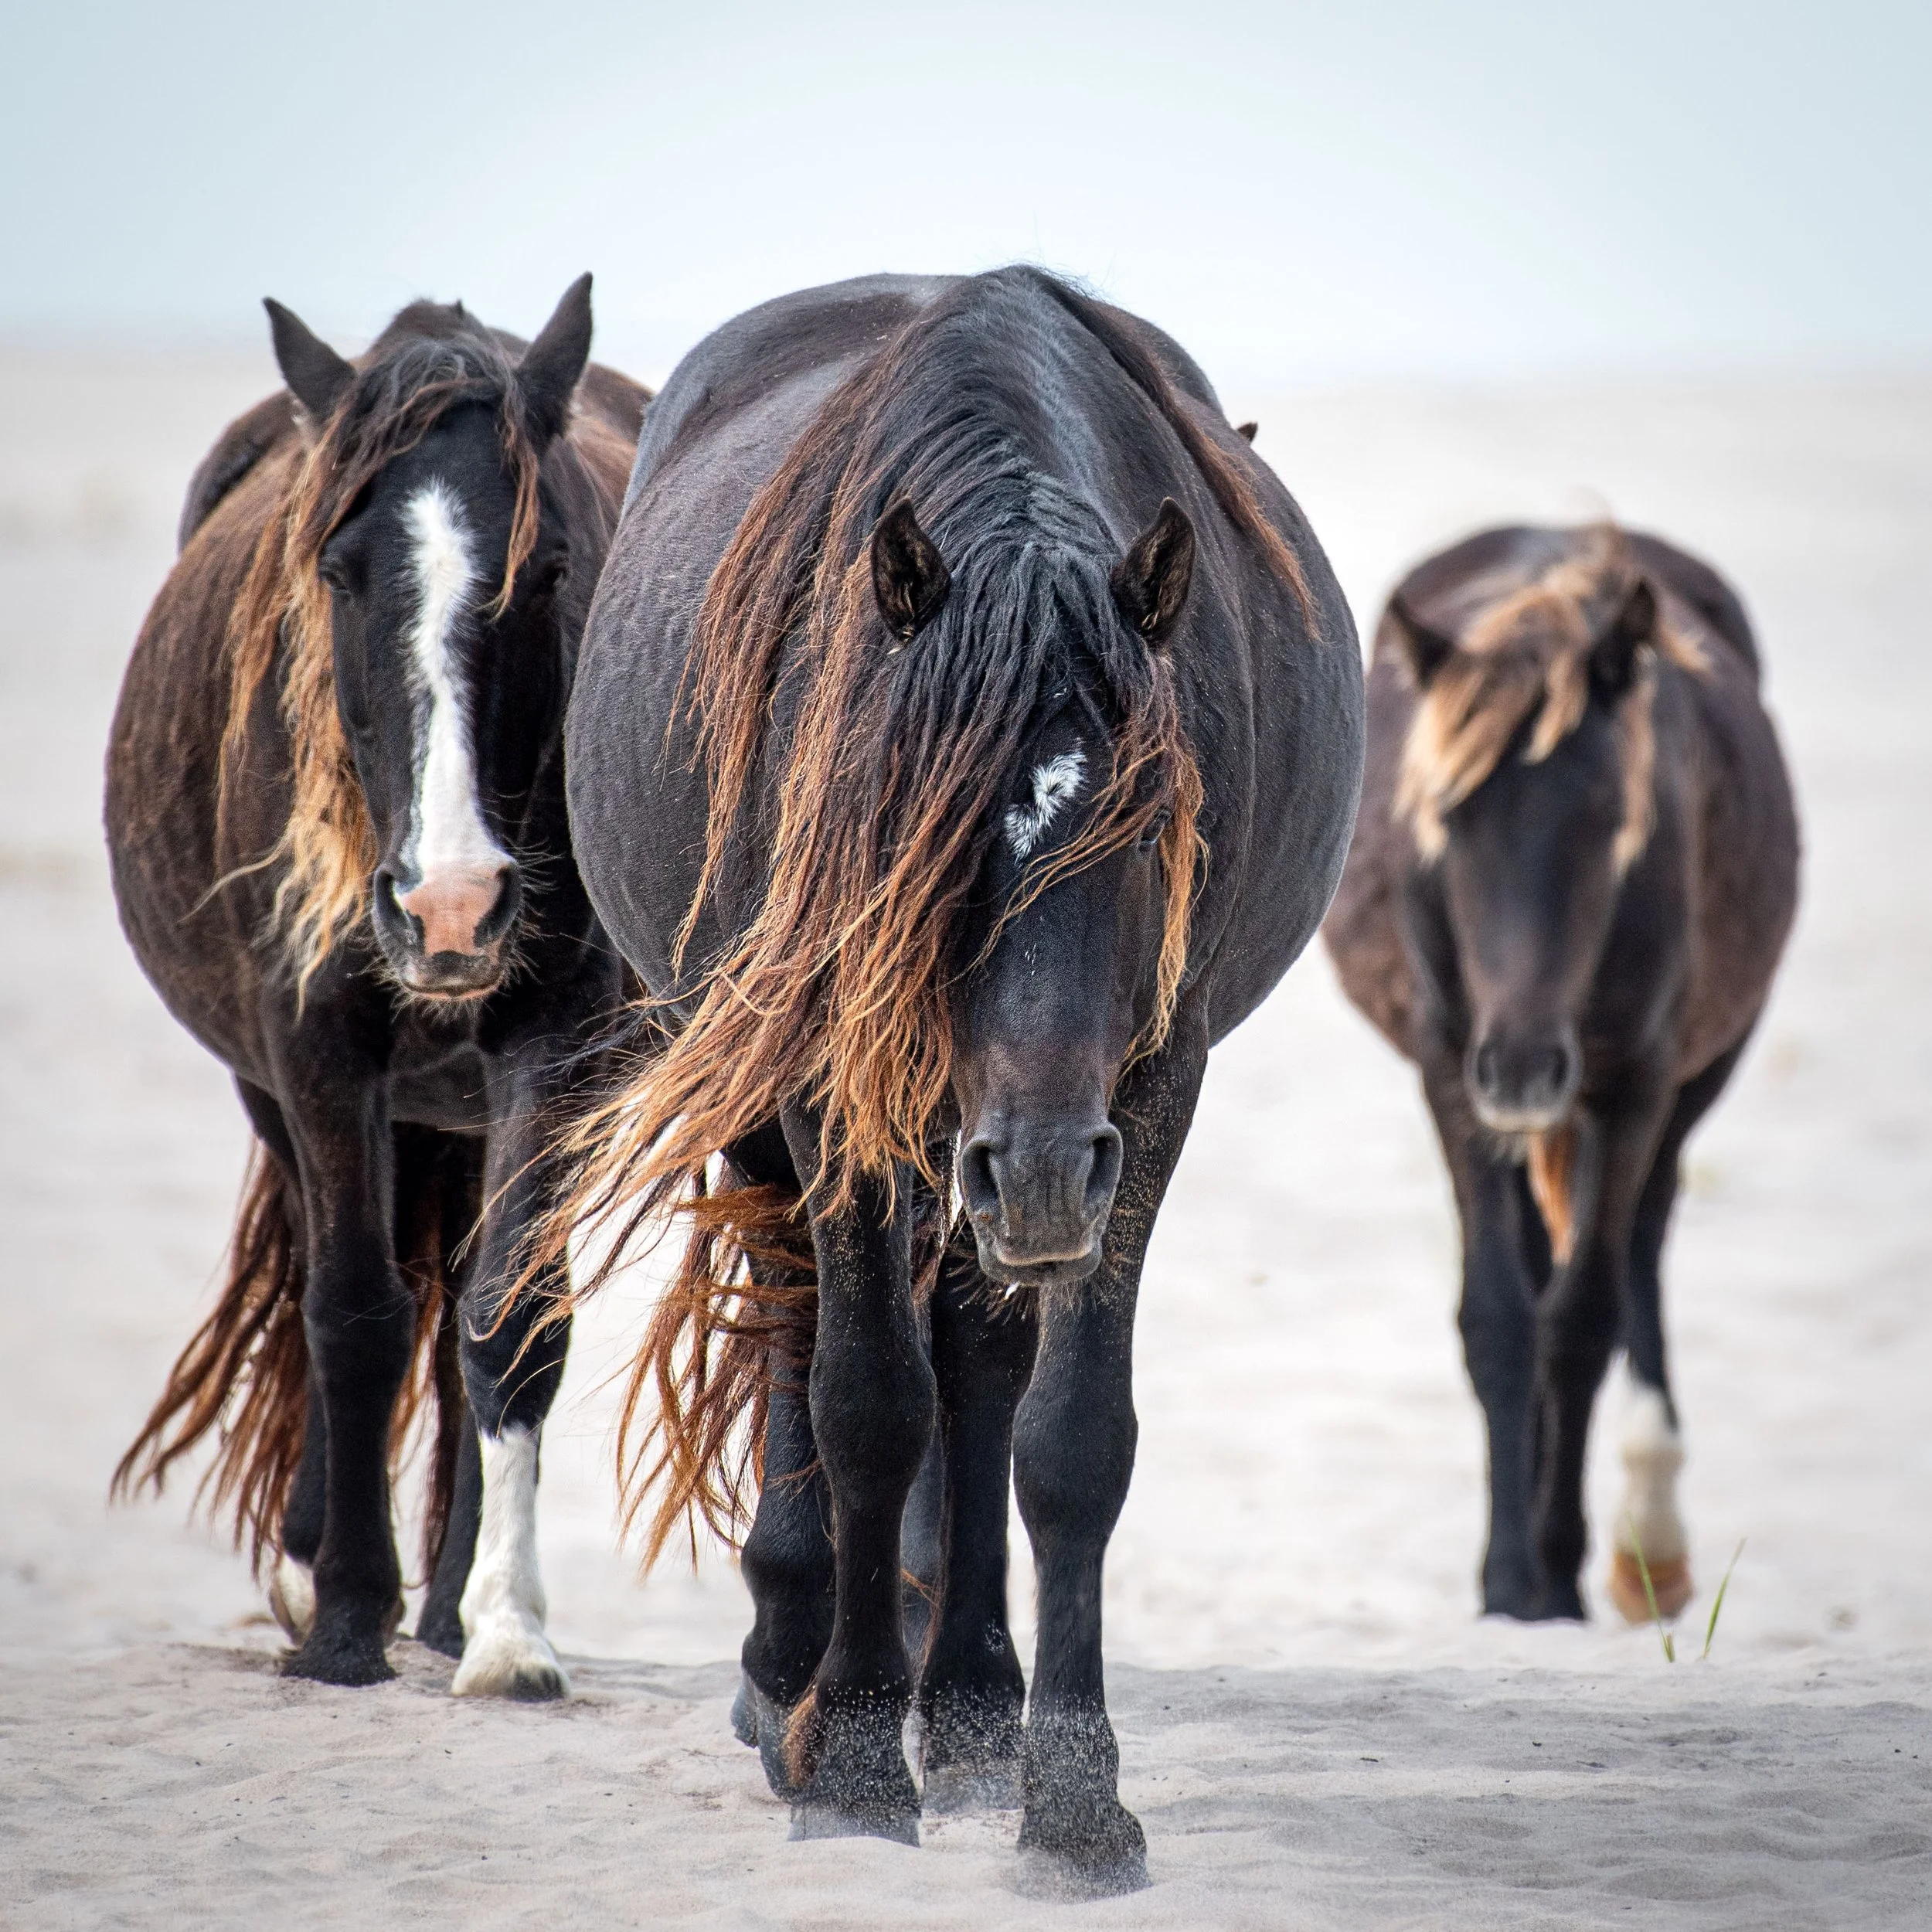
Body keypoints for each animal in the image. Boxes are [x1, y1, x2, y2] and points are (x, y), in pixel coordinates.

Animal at [106, 278, 647, 1693]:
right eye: (340, 574)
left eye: (548, 570)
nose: (449, 902)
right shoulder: (316, 1053)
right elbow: (352, 1312)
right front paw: (345, 1612)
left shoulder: (550, 1054)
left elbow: (510, 1321)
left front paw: (506, 1628)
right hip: (288, 1097)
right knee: (328, 1281)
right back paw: (319, 1564)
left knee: (462, 1318)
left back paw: (449, 1604)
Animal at [545, 267, 1363, 1892]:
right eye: (904, 826)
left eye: (1150, 833)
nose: (1037, 1165)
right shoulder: (831, 1081)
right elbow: (867, 1402)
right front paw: (857, 1758)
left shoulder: (1141, 1099)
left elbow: (1067, 1440)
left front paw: (1068, 1797)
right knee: (798, 1324)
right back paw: (789, 1678)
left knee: (978, 1369)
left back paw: (976, 1712)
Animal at [1323, 524, 1799, 1624]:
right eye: (1446, 818)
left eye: (1608, 816)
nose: (1523, 1065)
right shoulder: (1452, 1076)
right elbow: (1500, 1319)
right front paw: (1508, 1582)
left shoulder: (1633, 1085)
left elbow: (1582, 1320)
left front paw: (1557, 1570)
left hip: (1682, 1081)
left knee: (1640, 1248)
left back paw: (1646, 1542)